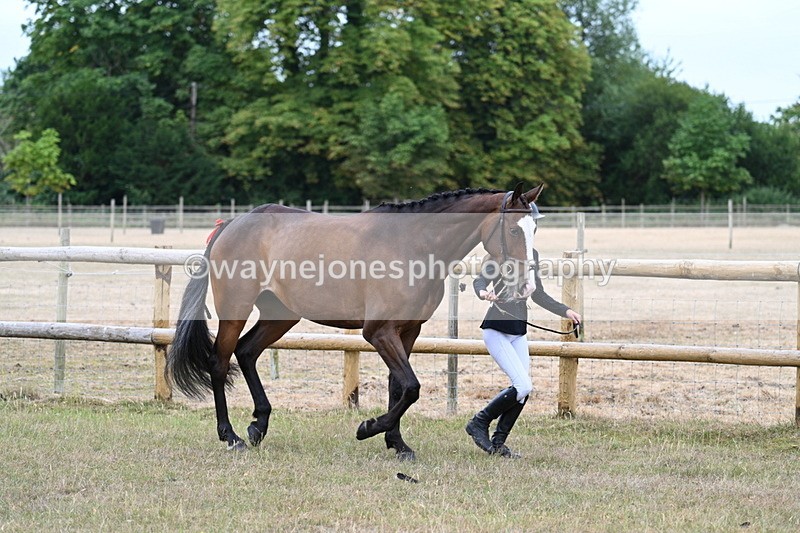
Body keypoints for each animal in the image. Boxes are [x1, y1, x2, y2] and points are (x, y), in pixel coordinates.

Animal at [167, 183, 545, 460]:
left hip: (280, 314)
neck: (414, 245)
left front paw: (398, 444)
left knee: (246, 352)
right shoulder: (378, 333)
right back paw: (230, 436)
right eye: (514, 230)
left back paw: (258, 425)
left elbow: (398, 387)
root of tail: (232, 224)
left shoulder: (408, 331)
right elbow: (411, 386)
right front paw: (369, 427)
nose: (526, 285)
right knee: (219, 363)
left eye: (535, 228)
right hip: (237, 309)